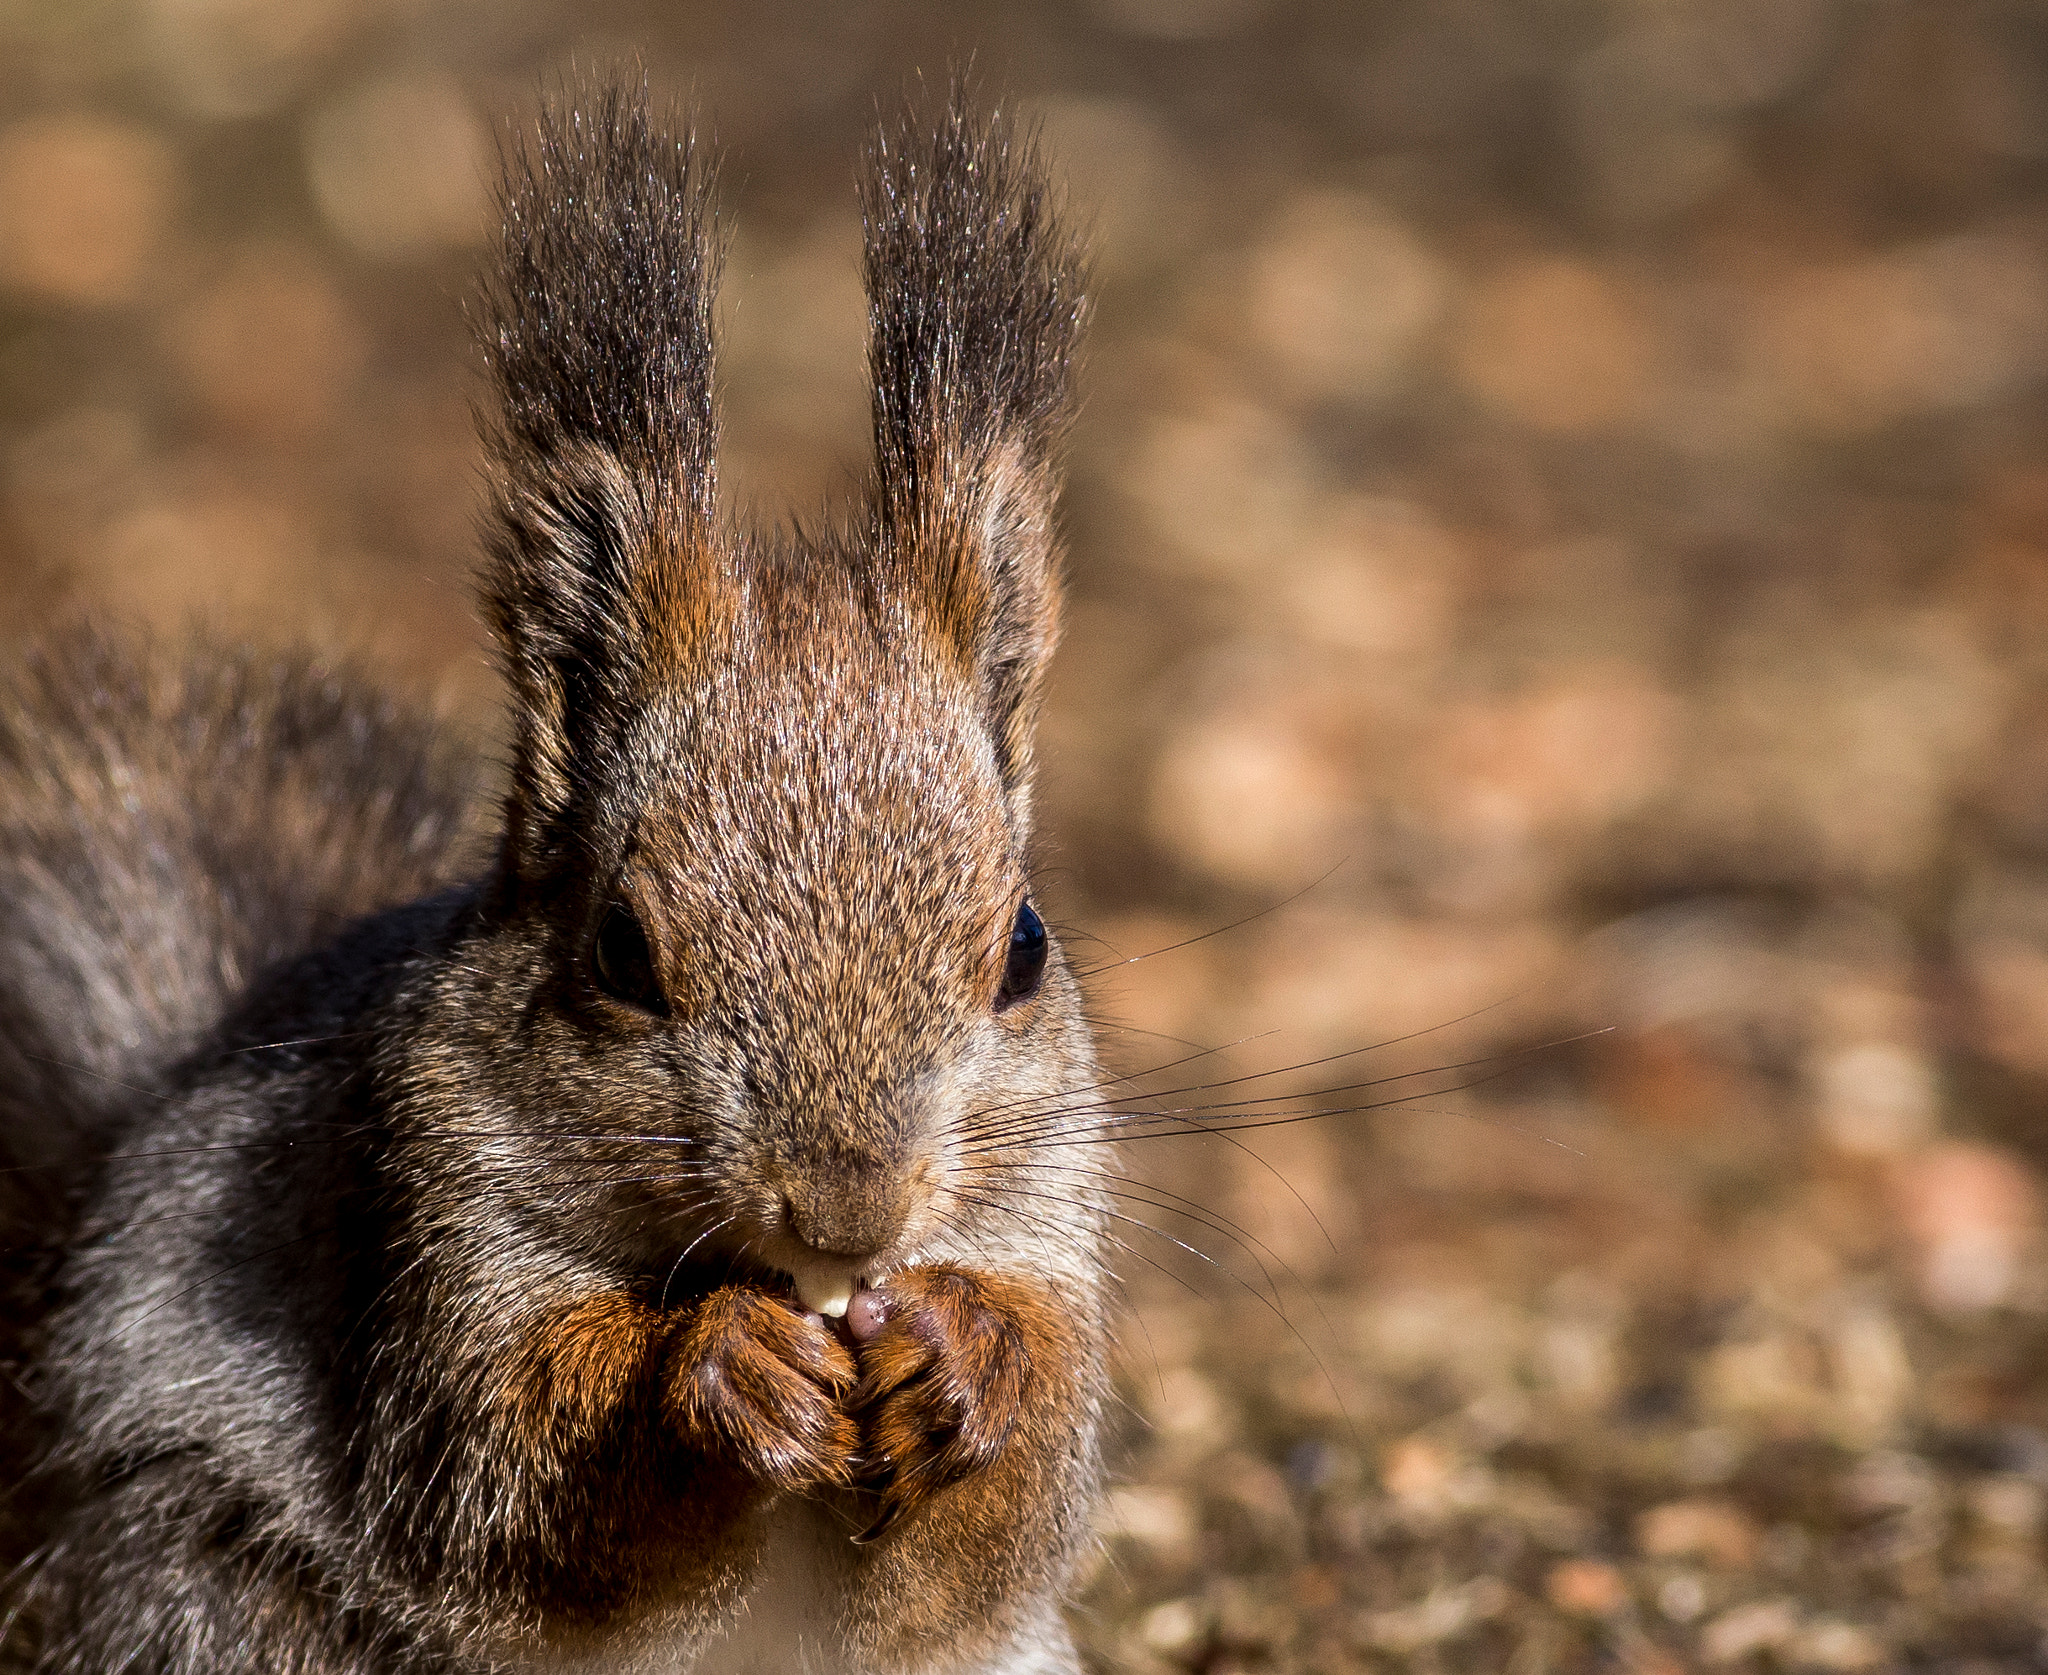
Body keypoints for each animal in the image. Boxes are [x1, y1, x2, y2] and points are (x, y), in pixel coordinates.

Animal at [0, 78, 1114, 1670]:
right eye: (619, 952)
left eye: (1021, 943)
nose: (849, 1212)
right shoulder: (427, 1228)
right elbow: (512, 1466)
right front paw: (718, 1368)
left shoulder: (1055, 1215)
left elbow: (1009, 1509)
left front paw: (969, 1359)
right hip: (224, 1604)